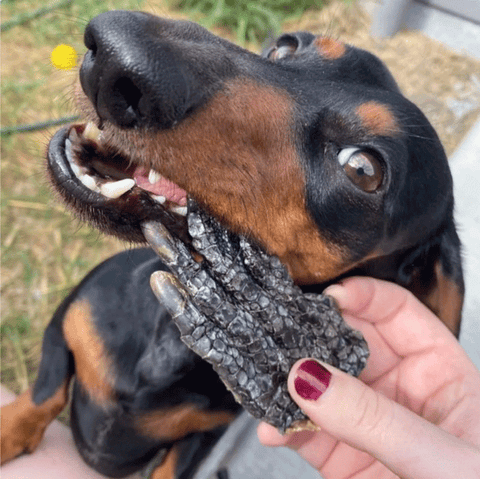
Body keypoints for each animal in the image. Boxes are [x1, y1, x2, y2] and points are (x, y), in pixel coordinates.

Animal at [0, 10, 464, 479]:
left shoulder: (203, 438)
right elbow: (42, 395)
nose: (112, 50)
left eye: (364, 169)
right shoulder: (67, 319)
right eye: (285, 47)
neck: (164, 349)